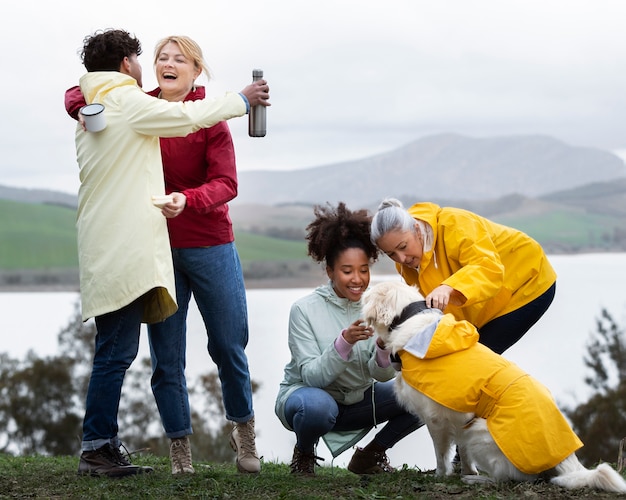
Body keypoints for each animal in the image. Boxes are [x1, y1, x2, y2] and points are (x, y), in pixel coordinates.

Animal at [358, 282, 624, 492]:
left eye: (370, 291)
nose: (362, 288)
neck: (410, 320)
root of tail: (568, 462)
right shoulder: (459, 418)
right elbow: (462, 450)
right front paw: (468, 470)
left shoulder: (435, 418)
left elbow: (441, 454)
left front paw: (442, 476)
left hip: (481, 434)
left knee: (511, 479)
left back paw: (480, 482)